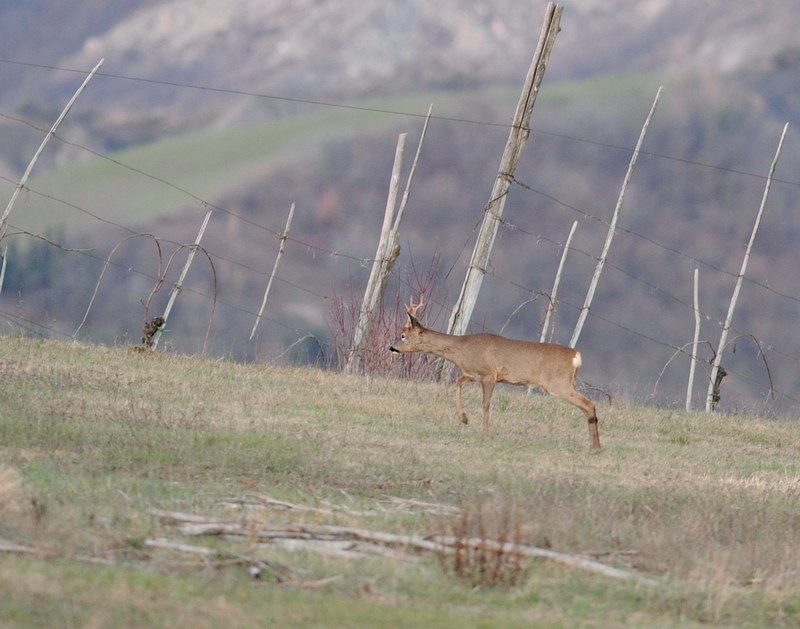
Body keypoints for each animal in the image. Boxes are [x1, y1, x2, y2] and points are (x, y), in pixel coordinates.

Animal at [388, 302, 600, 448]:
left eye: (403, 336)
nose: (392, 348)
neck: (462, 350)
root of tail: (576, 356)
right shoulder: (473, 373)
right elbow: (457, 383)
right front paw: (464, 418)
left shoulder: (489, 374)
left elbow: (485, 405)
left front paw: (485, 435)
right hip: (568, 382)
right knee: (587, 406)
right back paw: (595, 445)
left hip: (557, 382)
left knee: (589, 404)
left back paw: (595, 447)